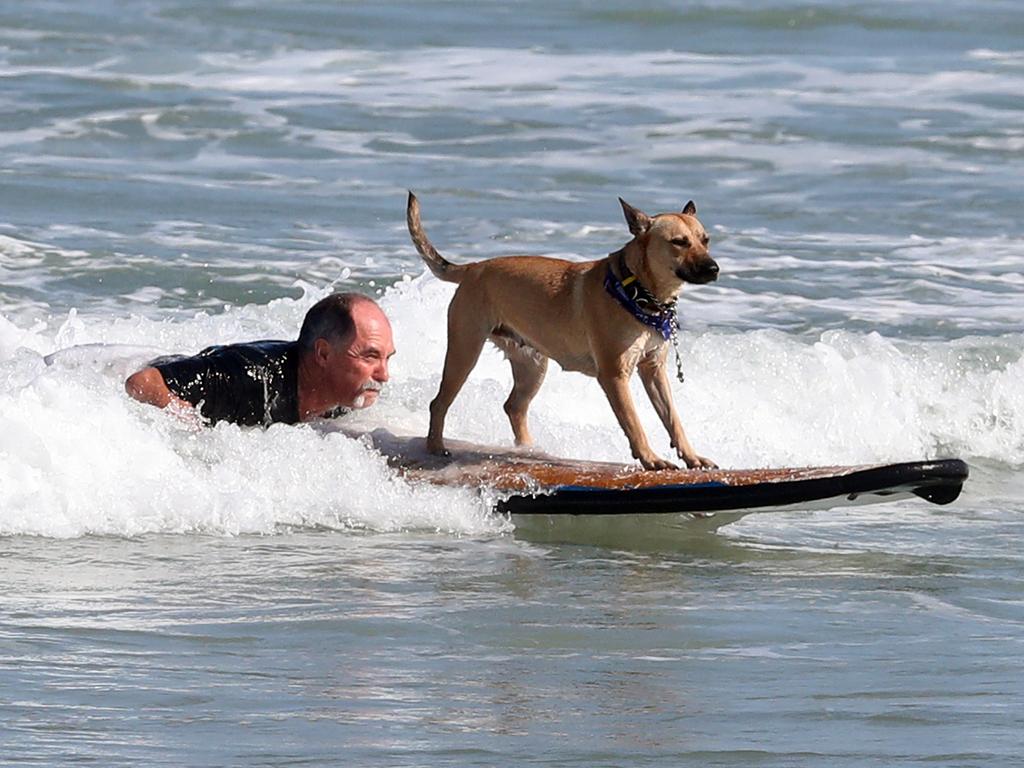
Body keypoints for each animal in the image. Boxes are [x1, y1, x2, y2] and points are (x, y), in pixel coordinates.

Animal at [407, 191, 720, 468]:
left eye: (705, 240)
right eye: (679, 242)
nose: (714, 268)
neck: (638, 291)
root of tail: (474, 268)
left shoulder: (654, 371)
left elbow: (674, 420)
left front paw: (692, 457)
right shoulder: (615, 375)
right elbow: (634, 422)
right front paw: (650, 458)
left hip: (532, 366)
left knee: (514, 407)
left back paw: (529, 449)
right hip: (464, 353)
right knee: (439, 403)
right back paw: (436, 446)